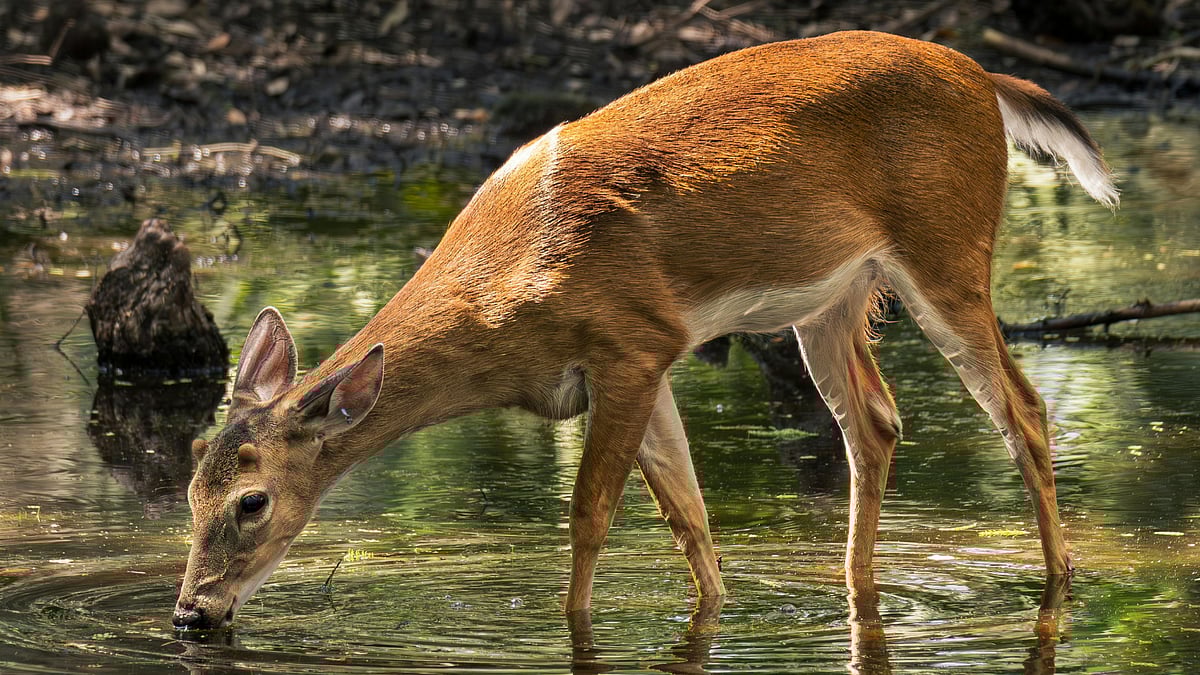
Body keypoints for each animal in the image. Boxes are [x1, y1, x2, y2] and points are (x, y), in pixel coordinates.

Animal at [173, 30, 1117, 630]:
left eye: (251, 500)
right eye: (189, 487)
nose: (191, 611)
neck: (506, 287)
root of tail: (988, 80)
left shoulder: (630, 342)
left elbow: (591, 513)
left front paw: (575, 626)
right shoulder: (644, 358)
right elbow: (688, 514)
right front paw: (718, 610)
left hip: (947, 250)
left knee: (1023, 410)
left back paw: (1059, 582)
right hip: (831, 300)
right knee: (875, 423)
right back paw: (856, 590)